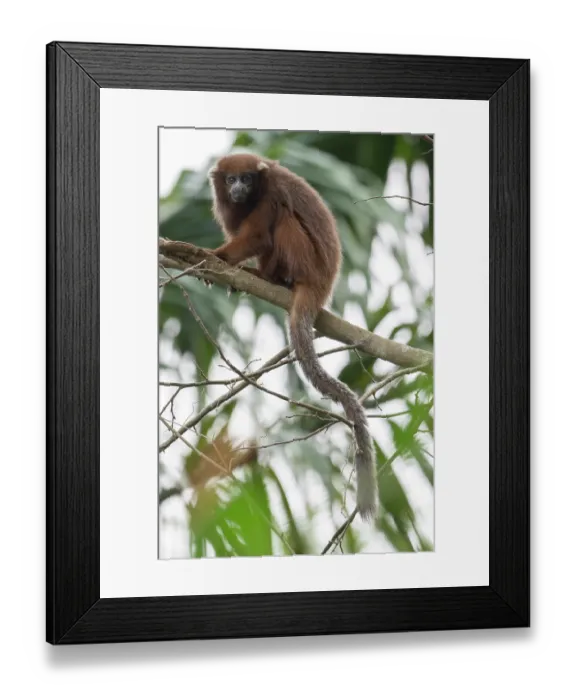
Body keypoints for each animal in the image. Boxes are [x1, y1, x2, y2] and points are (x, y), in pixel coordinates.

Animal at [206, 153, 378, 520]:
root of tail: (323, 286)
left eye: (247, 179)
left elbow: (258, 235)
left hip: (307, 261)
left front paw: (217, 258)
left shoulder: (270, 193)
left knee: (283, 220)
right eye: (231, 181)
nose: (239, 188)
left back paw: (272, 277)